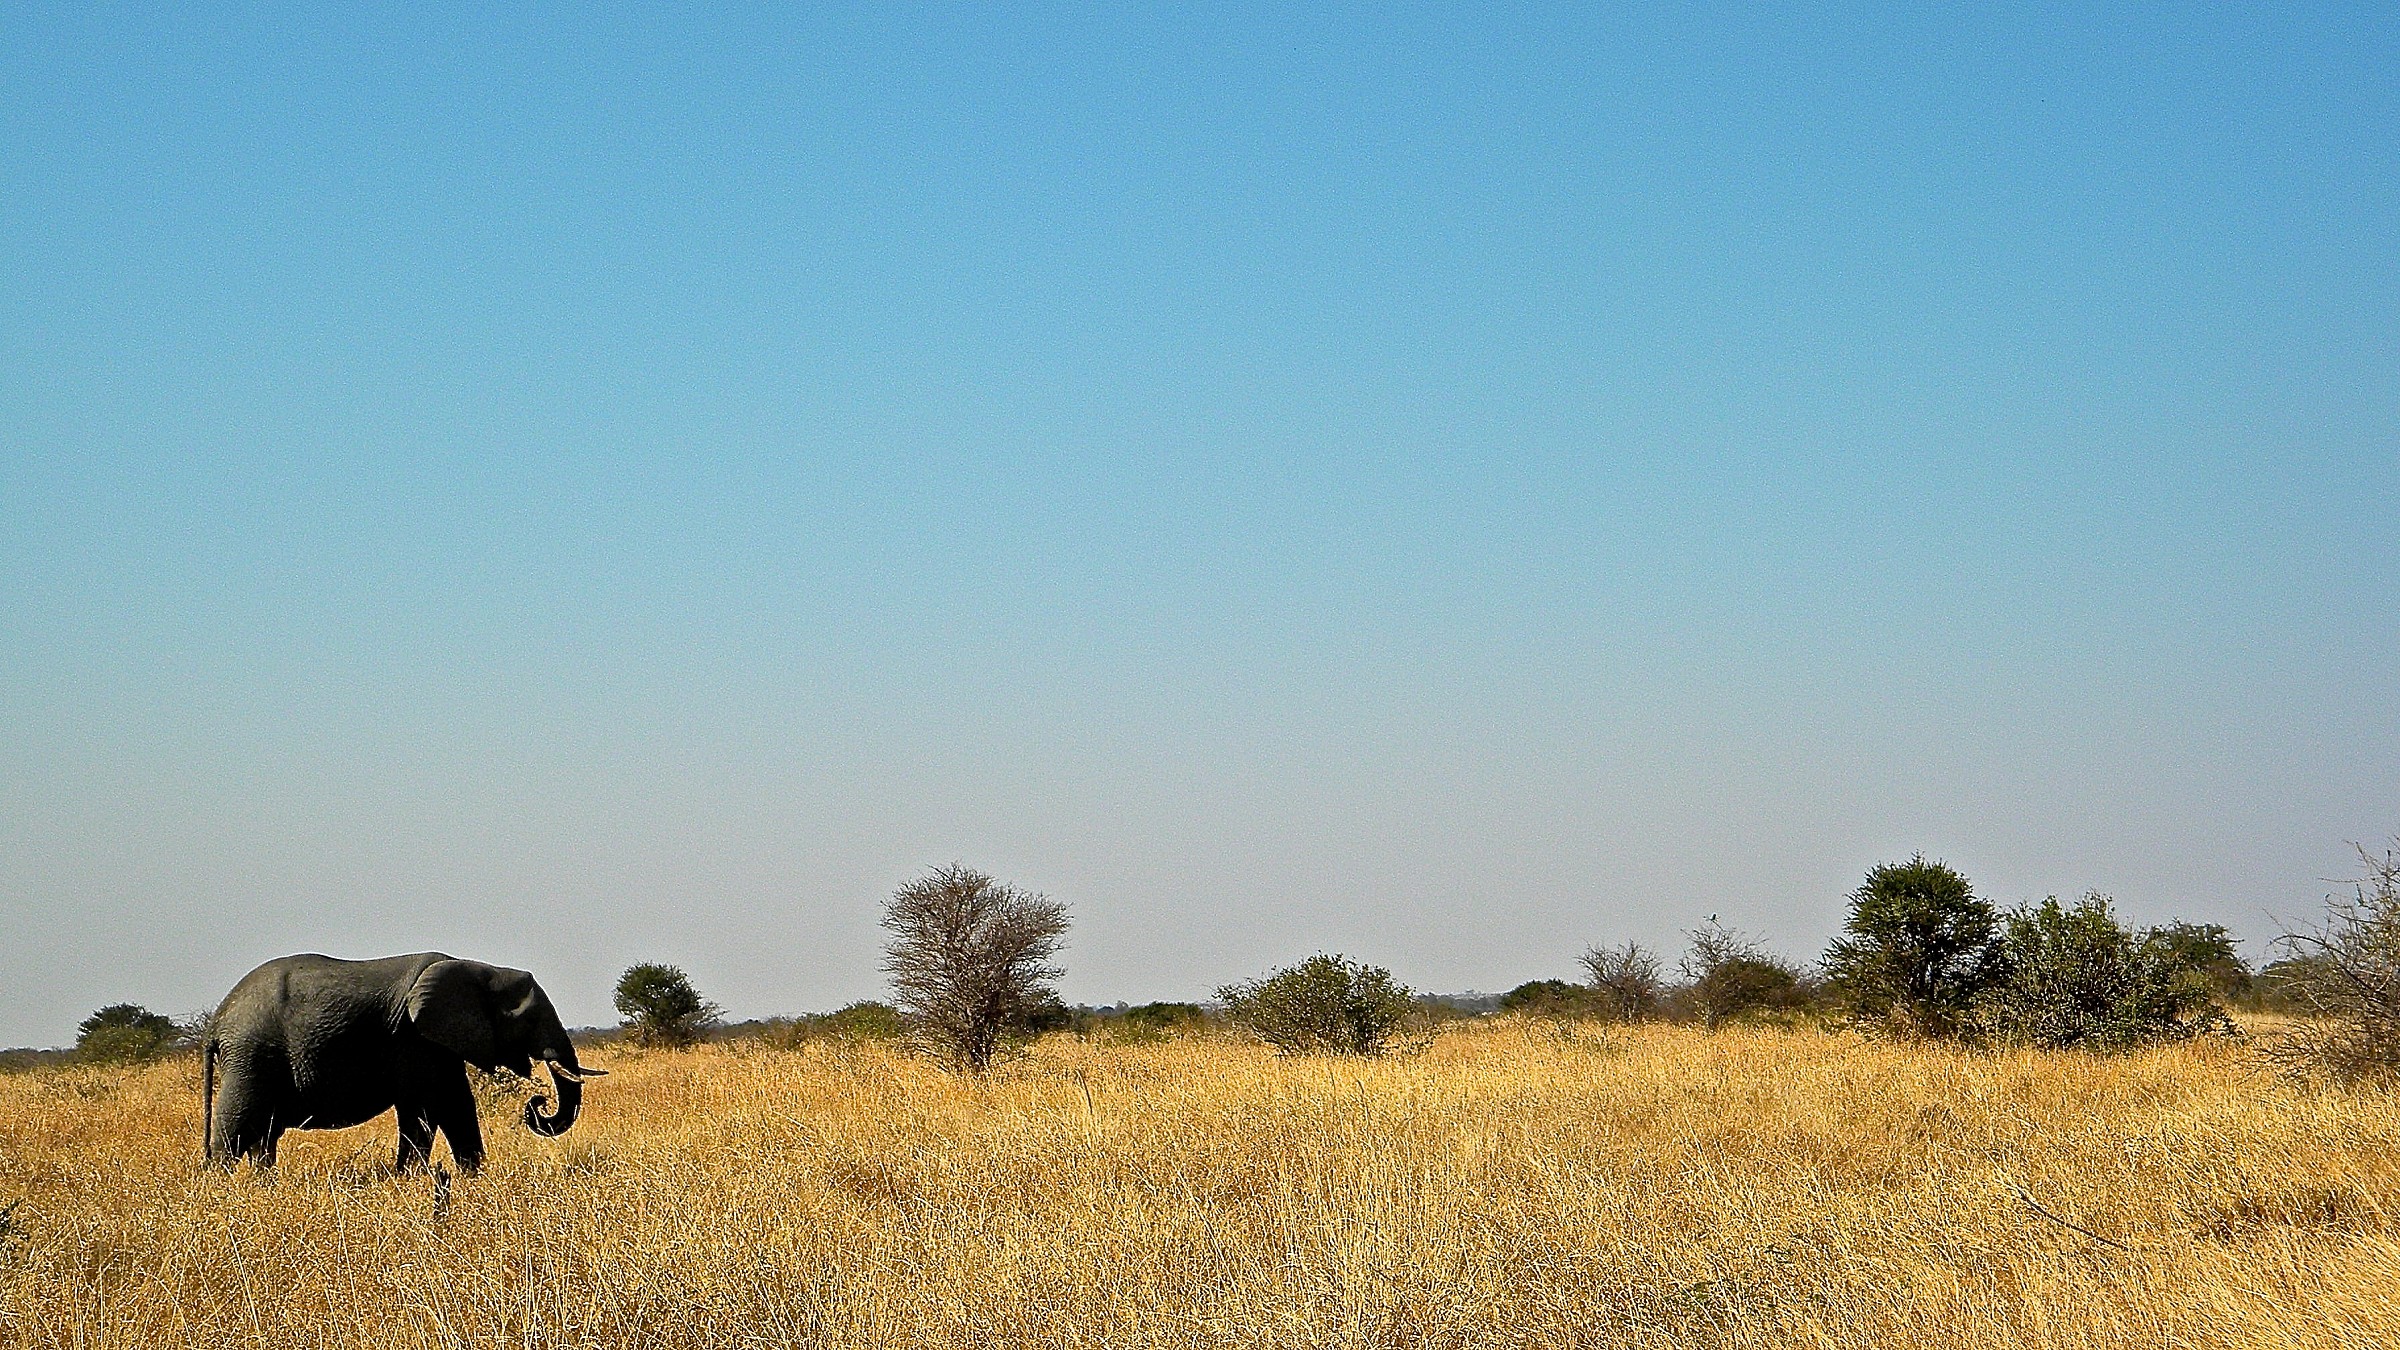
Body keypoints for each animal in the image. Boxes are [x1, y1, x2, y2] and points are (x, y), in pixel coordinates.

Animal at [203, 952, 602, 1173]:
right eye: (530, 1020)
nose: (538, 1104)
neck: (480, 969)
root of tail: (216, 1022)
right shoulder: (413, 1038)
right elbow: (431, 1107)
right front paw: (414, 1178)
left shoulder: (433, 1042)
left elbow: (450, 1106)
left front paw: (467, 1177)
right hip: (250, 1054)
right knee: (236, 1128)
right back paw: (222, 1188)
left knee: (263, 1136)